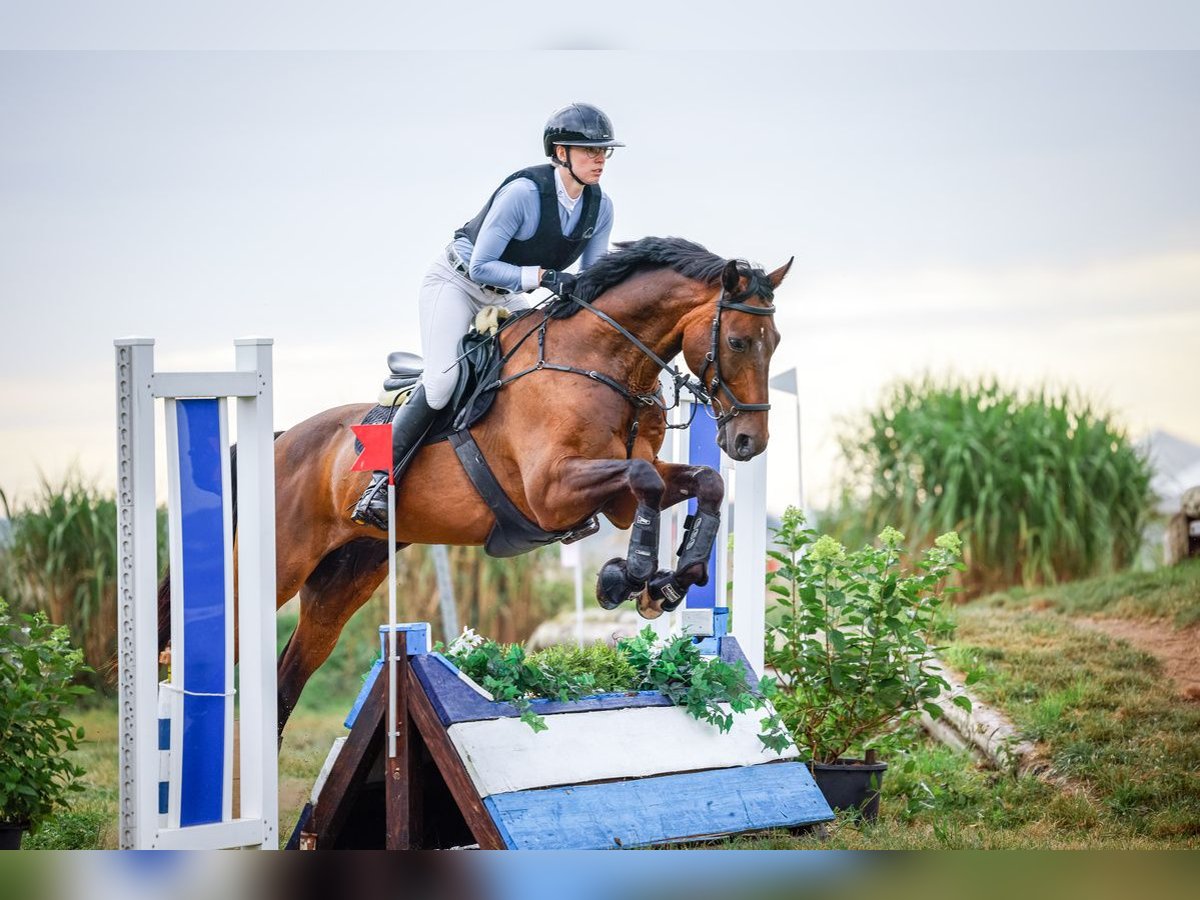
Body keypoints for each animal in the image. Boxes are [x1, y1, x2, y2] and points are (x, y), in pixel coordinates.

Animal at [162, 236, 796, 734]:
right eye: (738, 341)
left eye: (776, 343)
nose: (749, 441)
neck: (604, 362)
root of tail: (282, 439)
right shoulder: (551, 493)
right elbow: (645, 482)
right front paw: (629, 576)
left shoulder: (616, 498)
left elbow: (700, 483)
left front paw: (668, 583)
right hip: (277, 567)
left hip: (345, 580)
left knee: (287, 682)